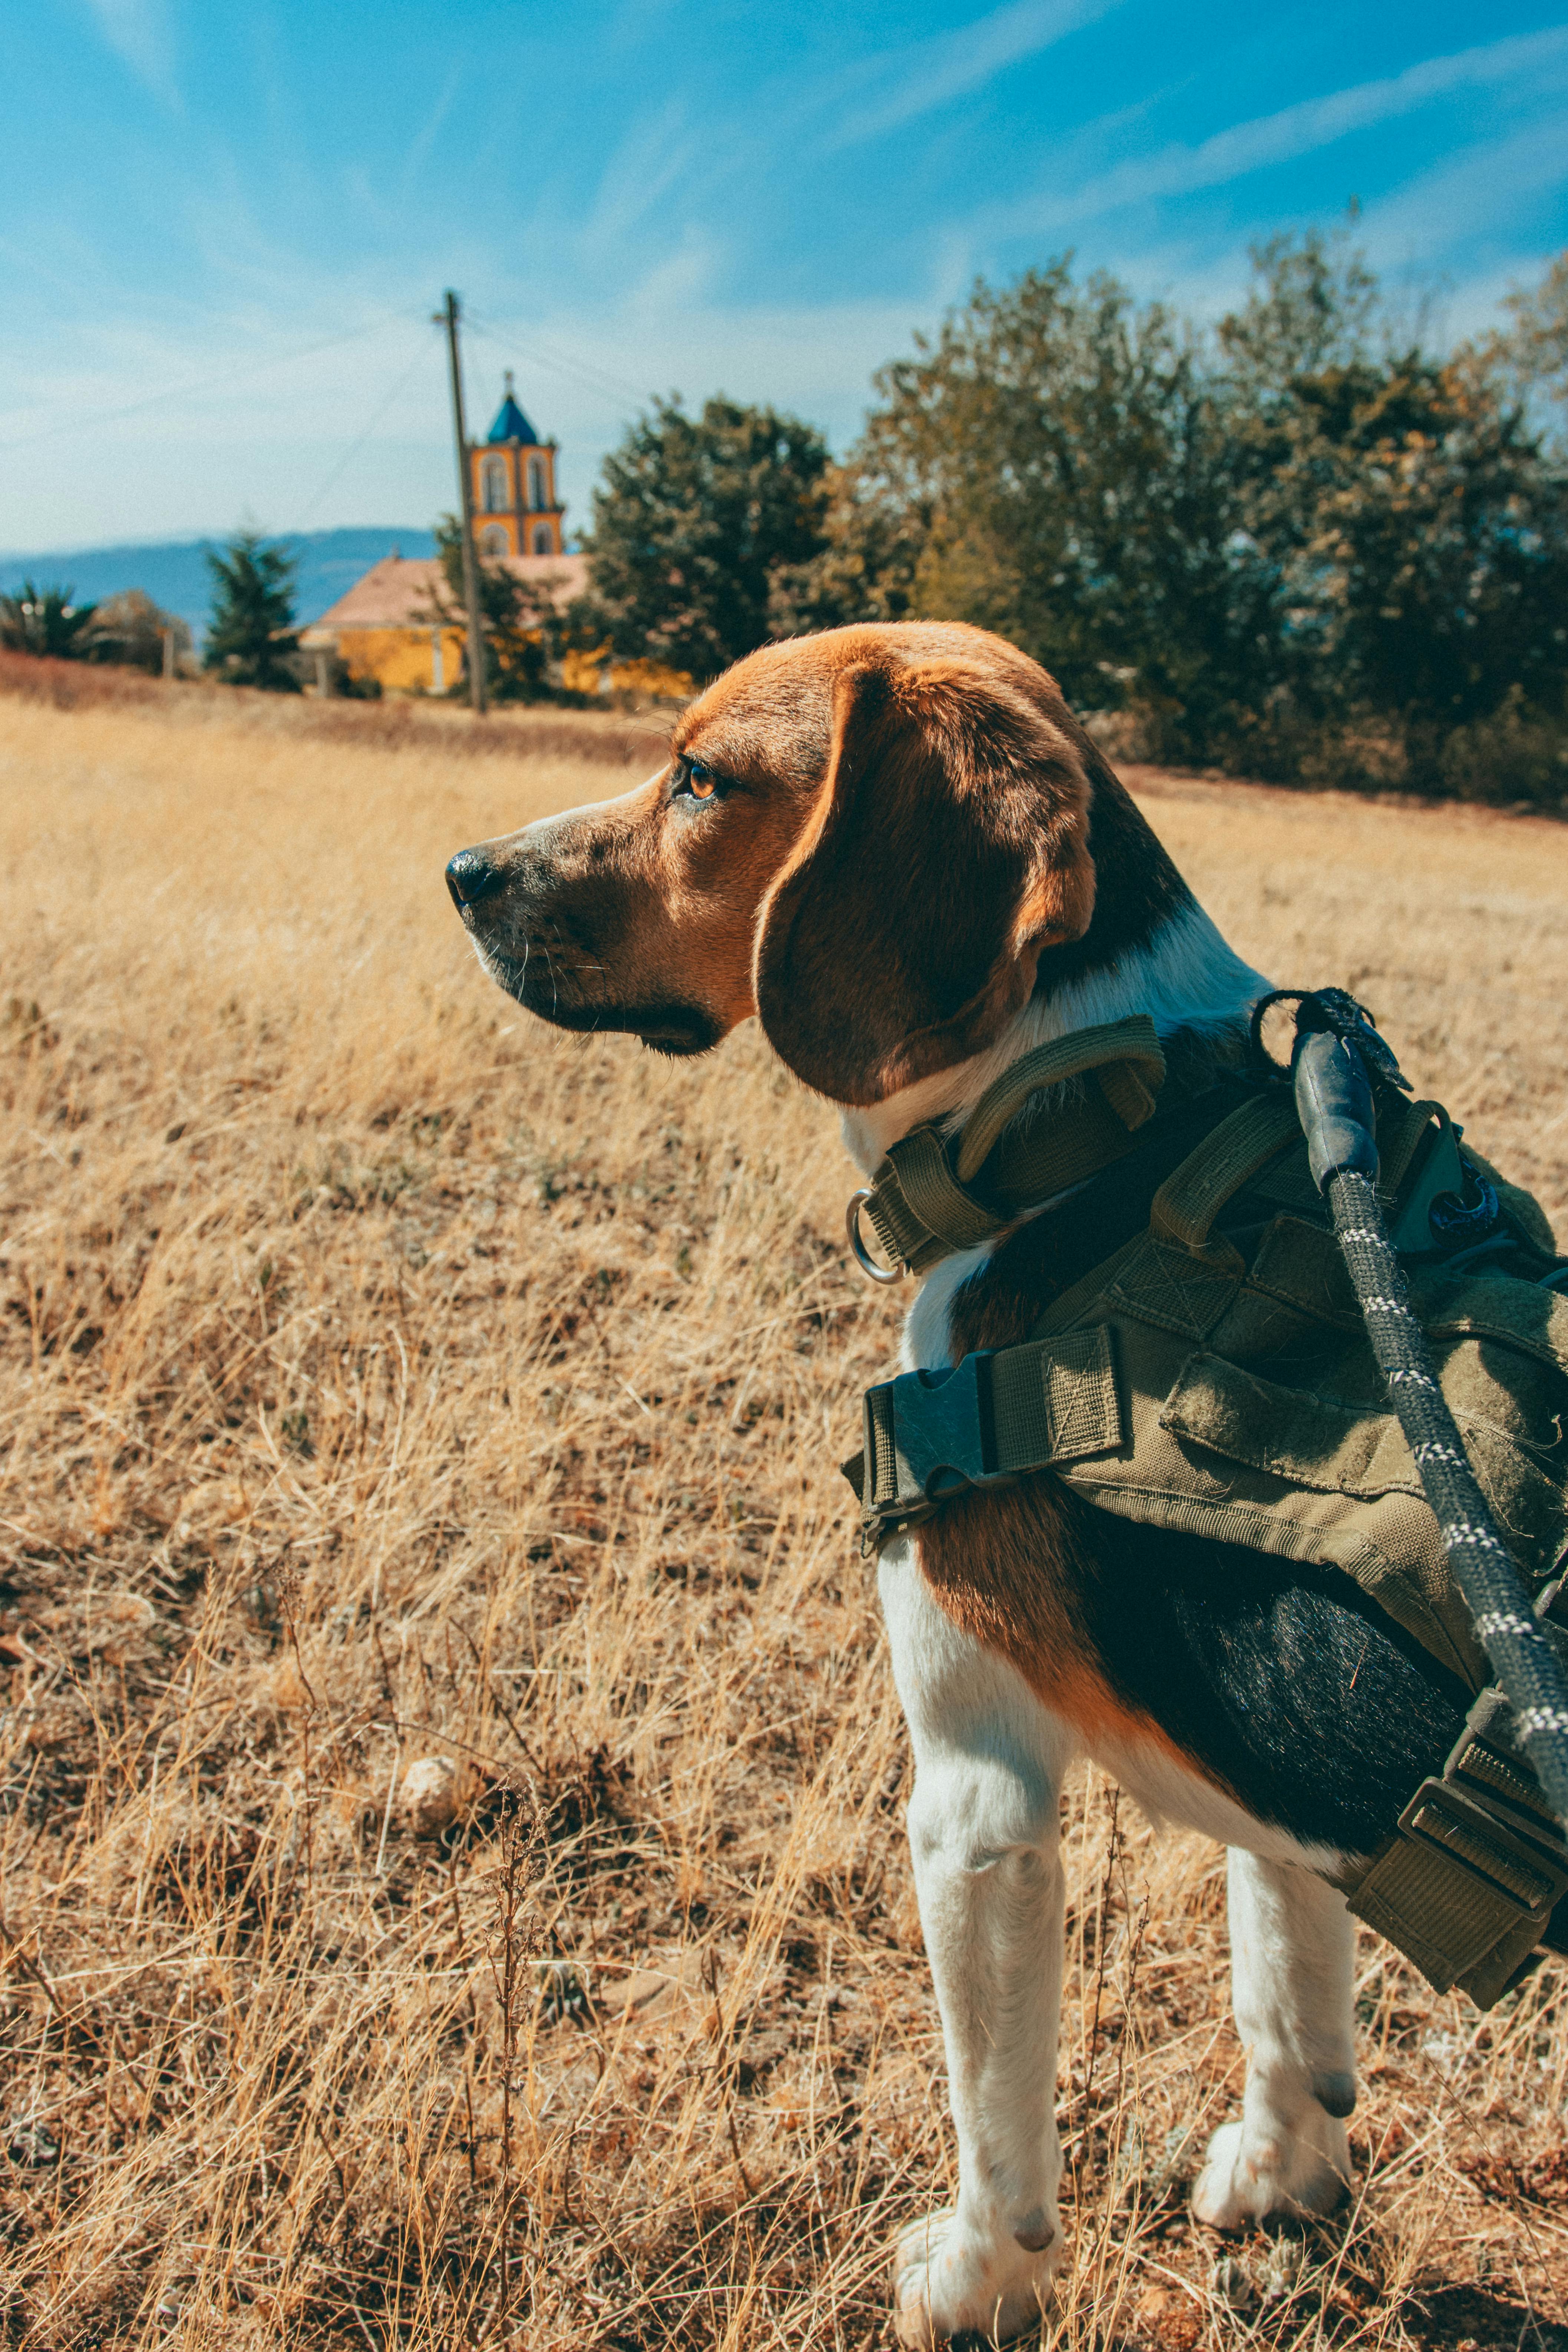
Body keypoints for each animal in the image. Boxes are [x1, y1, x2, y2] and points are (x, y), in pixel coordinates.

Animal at [444, 630, 1476, 2352]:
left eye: (701, 776)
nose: (464, 869)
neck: (1085, 1113)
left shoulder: (976, 1804)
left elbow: (997, 2117)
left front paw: (976, 2279)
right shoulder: (1265, 1785)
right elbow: (1285, 1987)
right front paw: (1284, 2177)